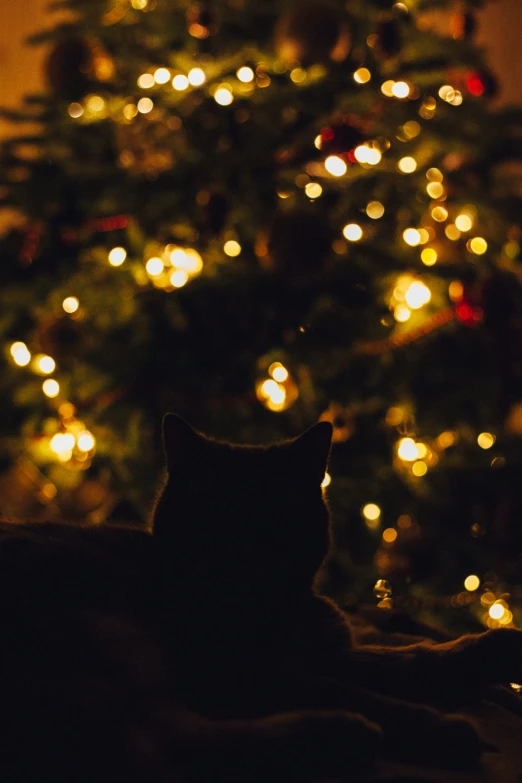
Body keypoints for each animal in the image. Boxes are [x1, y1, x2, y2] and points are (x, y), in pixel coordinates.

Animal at [1, 414, 520, 780]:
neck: (275, 612)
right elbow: (358, 690)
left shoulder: (325, 651)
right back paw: (342, 733)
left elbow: (414, 657)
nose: (238, 553)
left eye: (274, 514)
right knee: (158, 748)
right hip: (105, 632)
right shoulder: (235, 670)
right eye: (207, 514)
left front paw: (493, 647)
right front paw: (438, 727)